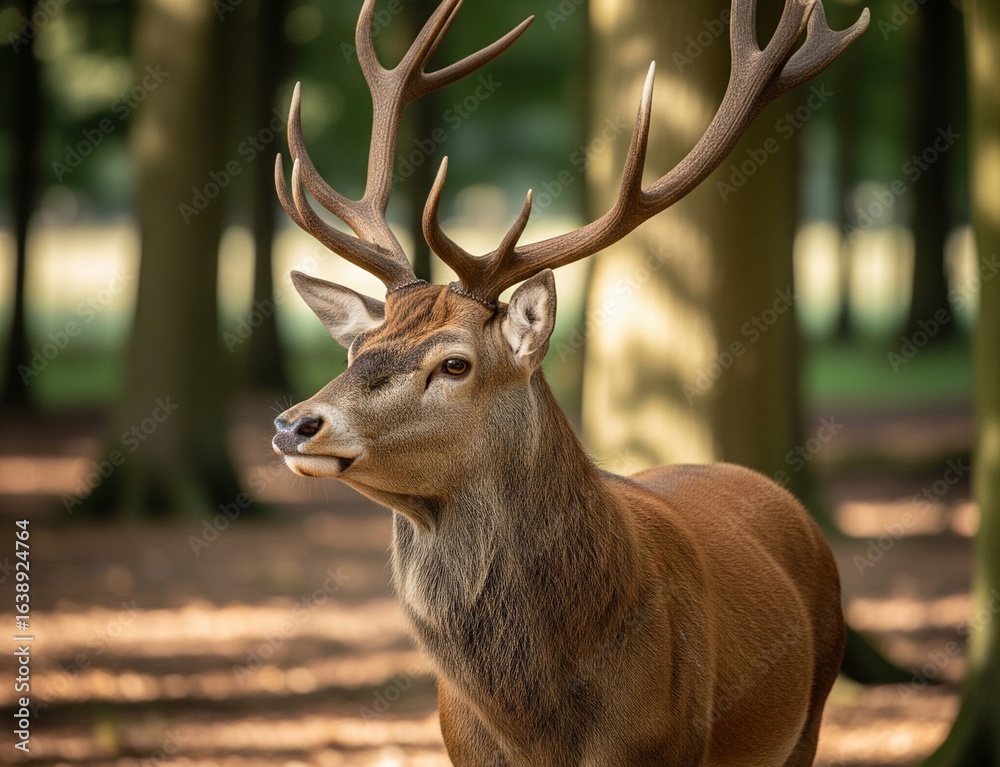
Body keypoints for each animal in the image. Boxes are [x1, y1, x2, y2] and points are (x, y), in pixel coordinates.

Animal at [271, 0, 868, 764]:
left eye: (455, 363)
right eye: (357, 349)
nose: (294, 423)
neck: (539, 730)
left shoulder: (670, 744)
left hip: (810, 715)